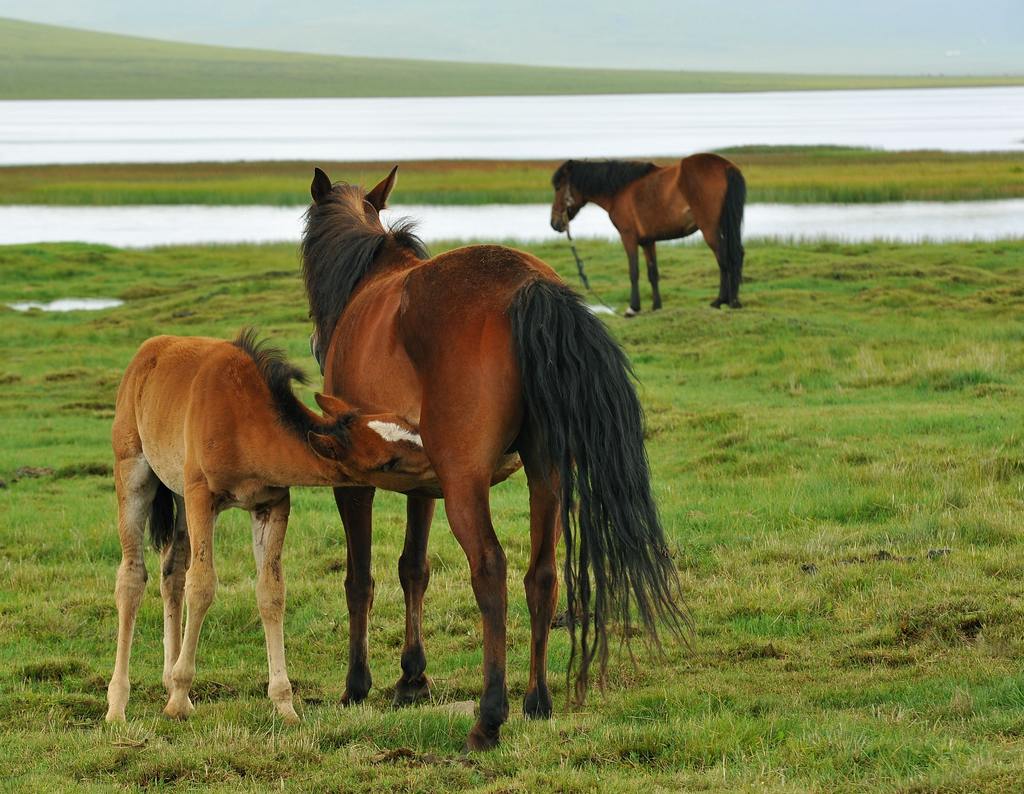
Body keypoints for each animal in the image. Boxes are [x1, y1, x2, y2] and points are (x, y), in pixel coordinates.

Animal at [105, 329, 434, 725]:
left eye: (411, 427)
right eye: (389, 462)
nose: (441, 459)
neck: (243, 418)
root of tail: (148, 350)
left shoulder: (271, 504)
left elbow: (271, 592)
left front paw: (284, 703)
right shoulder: (202, 496)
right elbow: (202, 586)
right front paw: (180, 697)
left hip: (178, 493)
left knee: (172, 572)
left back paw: (167, 681)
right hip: (134, 470)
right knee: (132, 577)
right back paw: (118, 705)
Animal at [303, 168, 688, 749]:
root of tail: (530, 288)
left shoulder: (356, 482)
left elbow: (359, 579)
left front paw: (357, 686)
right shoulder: (421, 481)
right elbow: (413, 568)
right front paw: (412, 678)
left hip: (467, 485)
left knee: (490, 571)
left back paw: (489, 716)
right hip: (545, 475)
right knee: (541, 576)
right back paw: (537, 701)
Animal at [552, 153, 745, 315]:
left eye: (559, 187)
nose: (554, 223)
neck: (619, 191)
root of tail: (726, 166)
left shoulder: (628, 237)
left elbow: (634, 271)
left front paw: (633, 308)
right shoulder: (648, 241)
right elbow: (653, 273)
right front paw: (656, 306)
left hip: (710, 229)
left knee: (724, 259)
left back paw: (721, 301)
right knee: (736, 255)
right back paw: (734, 301)